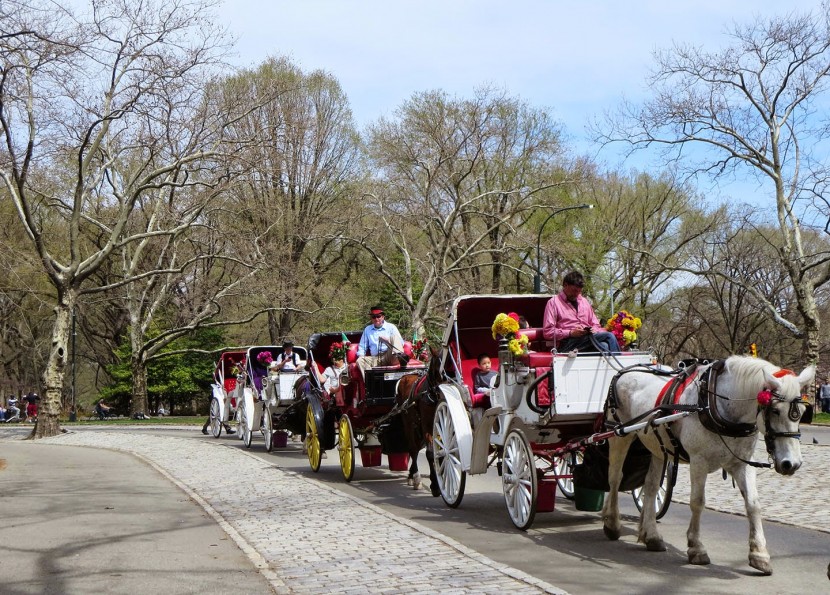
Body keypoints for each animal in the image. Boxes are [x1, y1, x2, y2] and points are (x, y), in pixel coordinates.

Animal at [394, 346, 442, 496]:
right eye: (439, 366)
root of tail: (405, 376)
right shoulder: (427, 426)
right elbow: (430, 453)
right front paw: (435, 485)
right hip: (408, 423)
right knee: (413, 449)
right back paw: (415, 476)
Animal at [600, 356, 816, 576]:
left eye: (802, 413)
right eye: (775, 410)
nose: (791, 464)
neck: (719, 405)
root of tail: (625, 371)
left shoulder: (742, 463)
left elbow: (753, 504)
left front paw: (759, 554)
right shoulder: (698, 461)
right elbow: (697, 502)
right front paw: (696, 548)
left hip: (658, 447)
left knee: (650, 487)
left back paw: (651, 535)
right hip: (619, 436)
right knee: (615, 478)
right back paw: (612, 522)